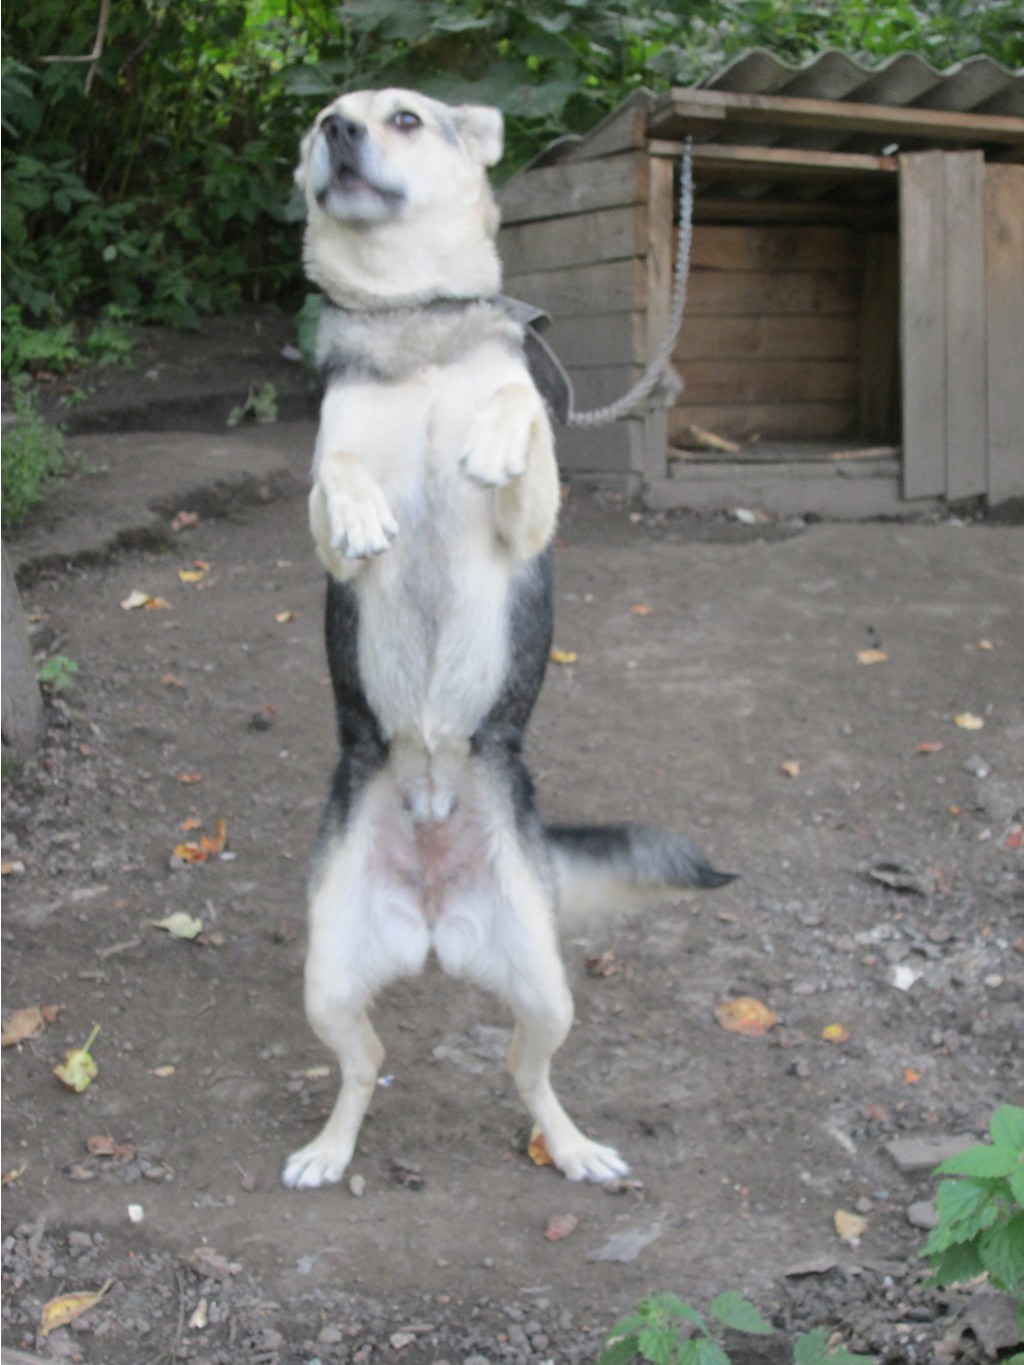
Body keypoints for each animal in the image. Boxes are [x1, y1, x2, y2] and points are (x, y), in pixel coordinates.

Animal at [283, 88, 732, 1190]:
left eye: (402, 116)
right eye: (325, 118)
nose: (340, 133)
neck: (414, 319)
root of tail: (435, 919)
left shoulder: (532, 514)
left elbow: (518, 406)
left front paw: (490, 433)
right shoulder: (322, 504)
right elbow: (334, 471)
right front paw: (366, 505)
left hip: (545, 991)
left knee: (531, 1080)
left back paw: (574, 1148)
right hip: (328, 982)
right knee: (364, 1065)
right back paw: (328, 1149)